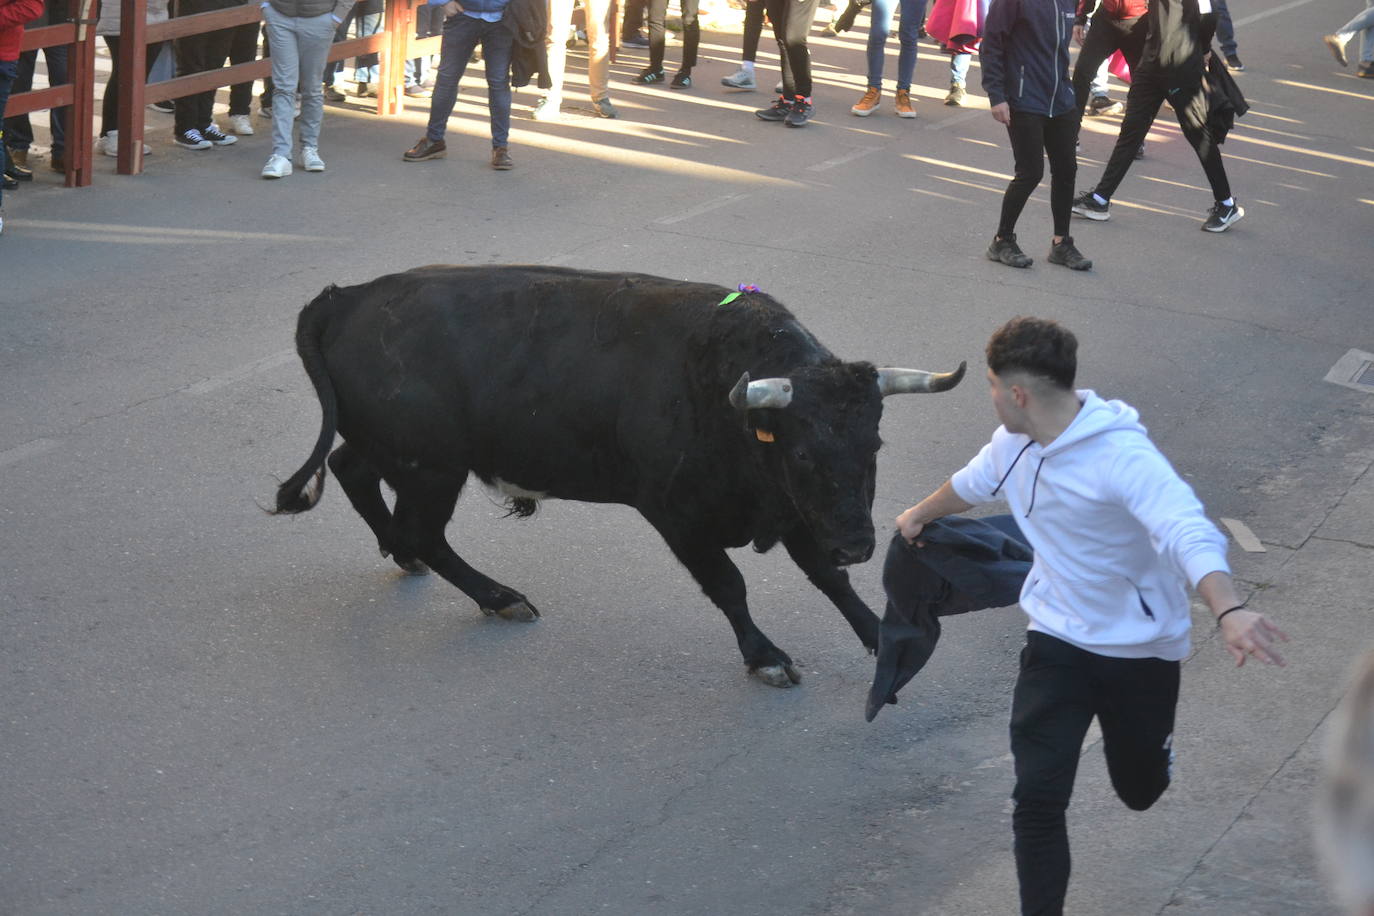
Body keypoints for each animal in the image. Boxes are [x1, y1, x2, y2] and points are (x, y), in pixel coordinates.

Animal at [273, 265, 967, 686]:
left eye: (874, 442)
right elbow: (730, 585)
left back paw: (407, 556)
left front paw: (884, 638)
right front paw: (765, 657)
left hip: (398, 451)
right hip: (432, 468)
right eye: (801, 453)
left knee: (352, 471)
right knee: (424, 531)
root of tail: (346, 298)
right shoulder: (678, 514)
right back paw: (499, 597)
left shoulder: (796, 510)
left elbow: (827, 578)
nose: (859, 544)